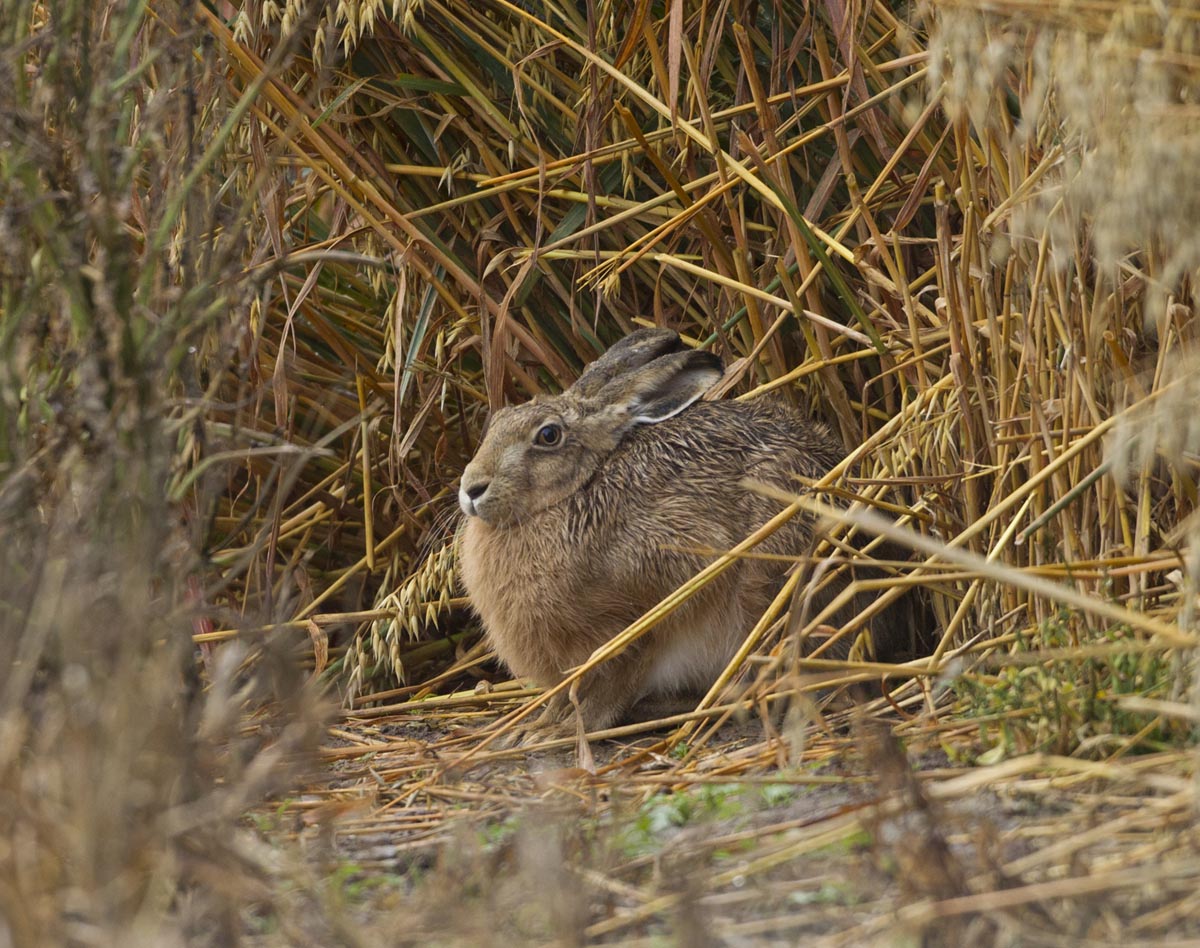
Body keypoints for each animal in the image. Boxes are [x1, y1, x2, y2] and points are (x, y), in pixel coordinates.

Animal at [458, 328, 924, 736]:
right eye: (496, 422)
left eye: (549, 435)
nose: (471, 488)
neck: (569, 497)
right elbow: (562, 696)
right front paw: (537, 724)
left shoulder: (651, 605)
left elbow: (614, 684)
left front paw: (566, 729)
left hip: (770, 594)